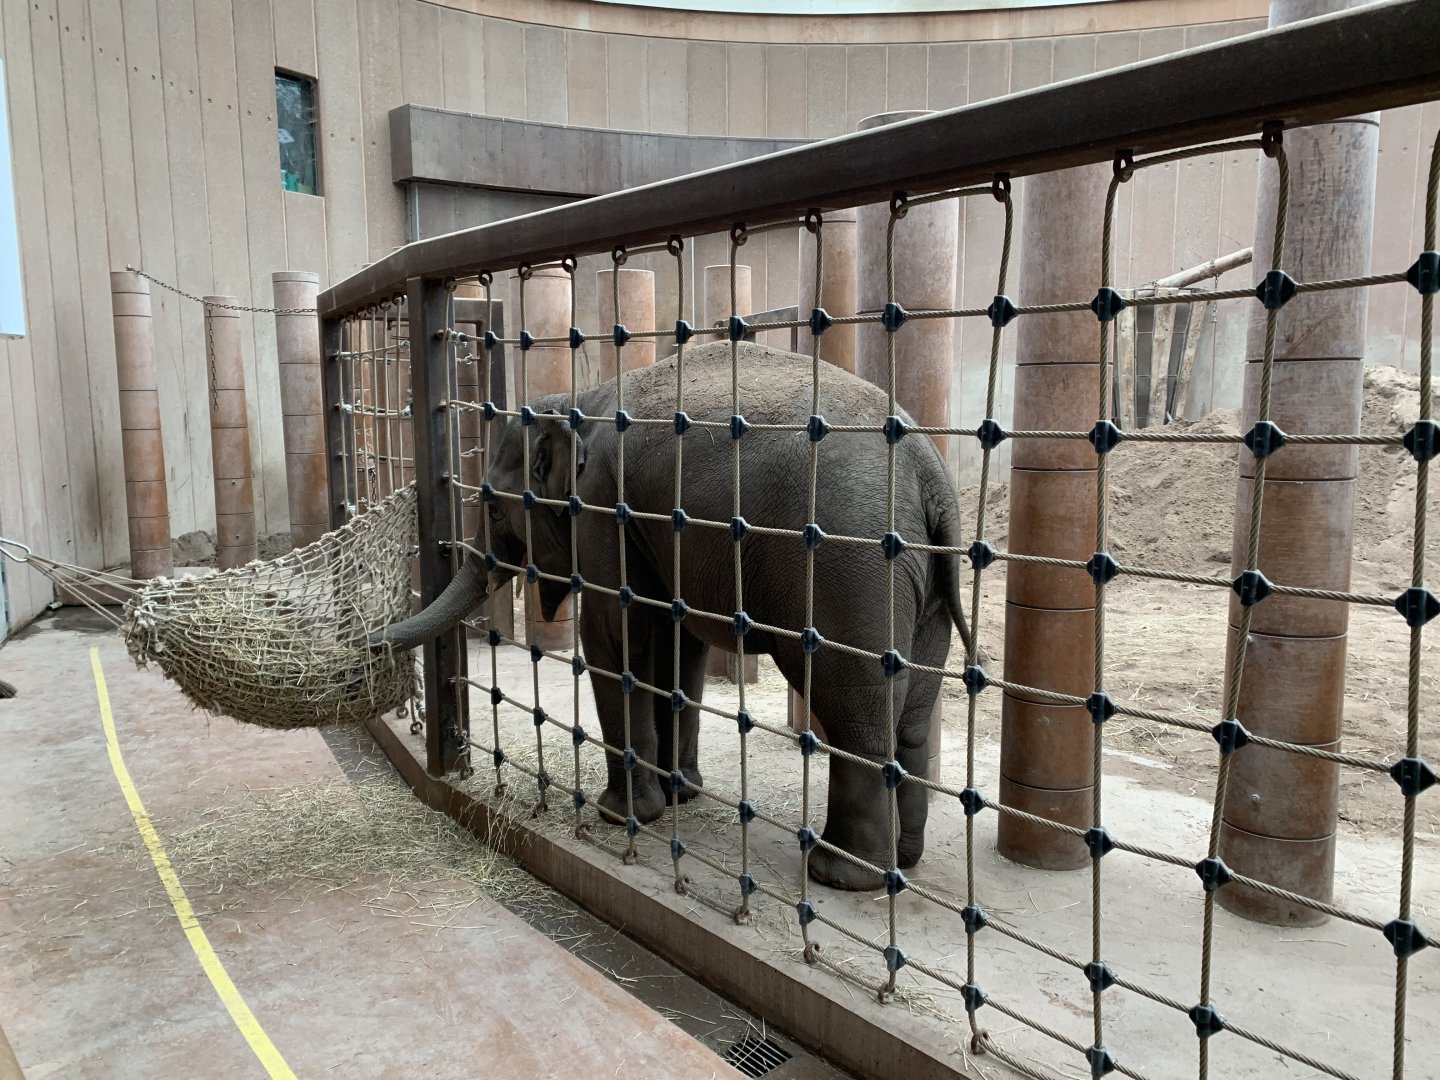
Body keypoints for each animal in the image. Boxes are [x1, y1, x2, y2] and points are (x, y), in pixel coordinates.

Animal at [373, 340, 972, 890]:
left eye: (495, 509)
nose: (372, 639)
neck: (577, 400)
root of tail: (930, 474)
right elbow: (676, 642)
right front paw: (681, 792)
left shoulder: (603, 508)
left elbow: (616, 636)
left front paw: (621, 814)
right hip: (926, 582)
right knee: (912, 715)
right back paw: (904, 861)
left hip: (847, 569)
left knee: (855, 711)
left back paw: (839, 874)